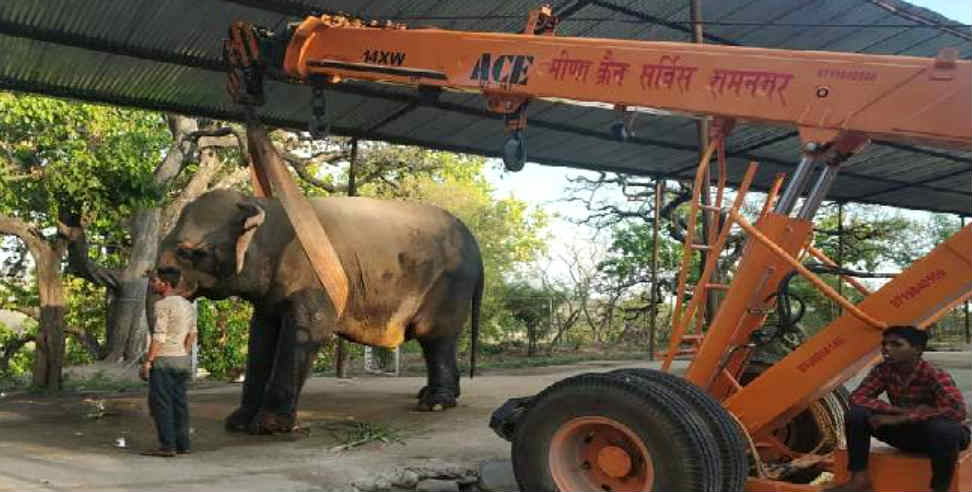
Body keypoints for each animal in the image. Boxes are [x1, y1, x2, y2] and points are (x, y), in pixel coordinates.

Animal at [152, 190, 482, 432]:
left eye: (192, 252)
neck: (265, 206)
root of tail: (475, 245)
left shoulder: (315, 278)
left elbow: (310, 329)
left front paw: (268, 427)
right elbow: (262, 333)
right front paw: (237, 422)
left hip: (450, 285)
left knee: (435, 337)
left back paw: (434, 404)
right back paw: (433, 396)